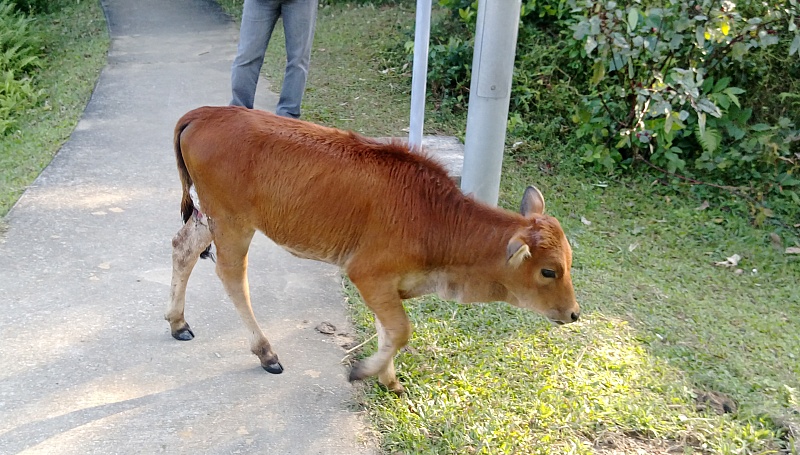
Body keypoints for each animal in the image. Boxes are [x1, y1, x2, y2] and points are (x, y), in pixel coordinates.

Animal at [167, 105, 580, 394]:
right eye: (548, 271)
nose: (574, 313)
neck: (435, 218)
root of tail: (204, 113)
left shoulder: (387, 286)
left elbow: (388, 330)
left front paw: (389, 380)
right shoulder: (367, 274)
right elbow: (400, 331)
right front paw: (365, 371)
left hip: (210, 218)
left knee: (182, 249)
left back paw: (178, 322)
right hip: (233, 223)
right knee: (232, 276)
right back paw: (267, 352)